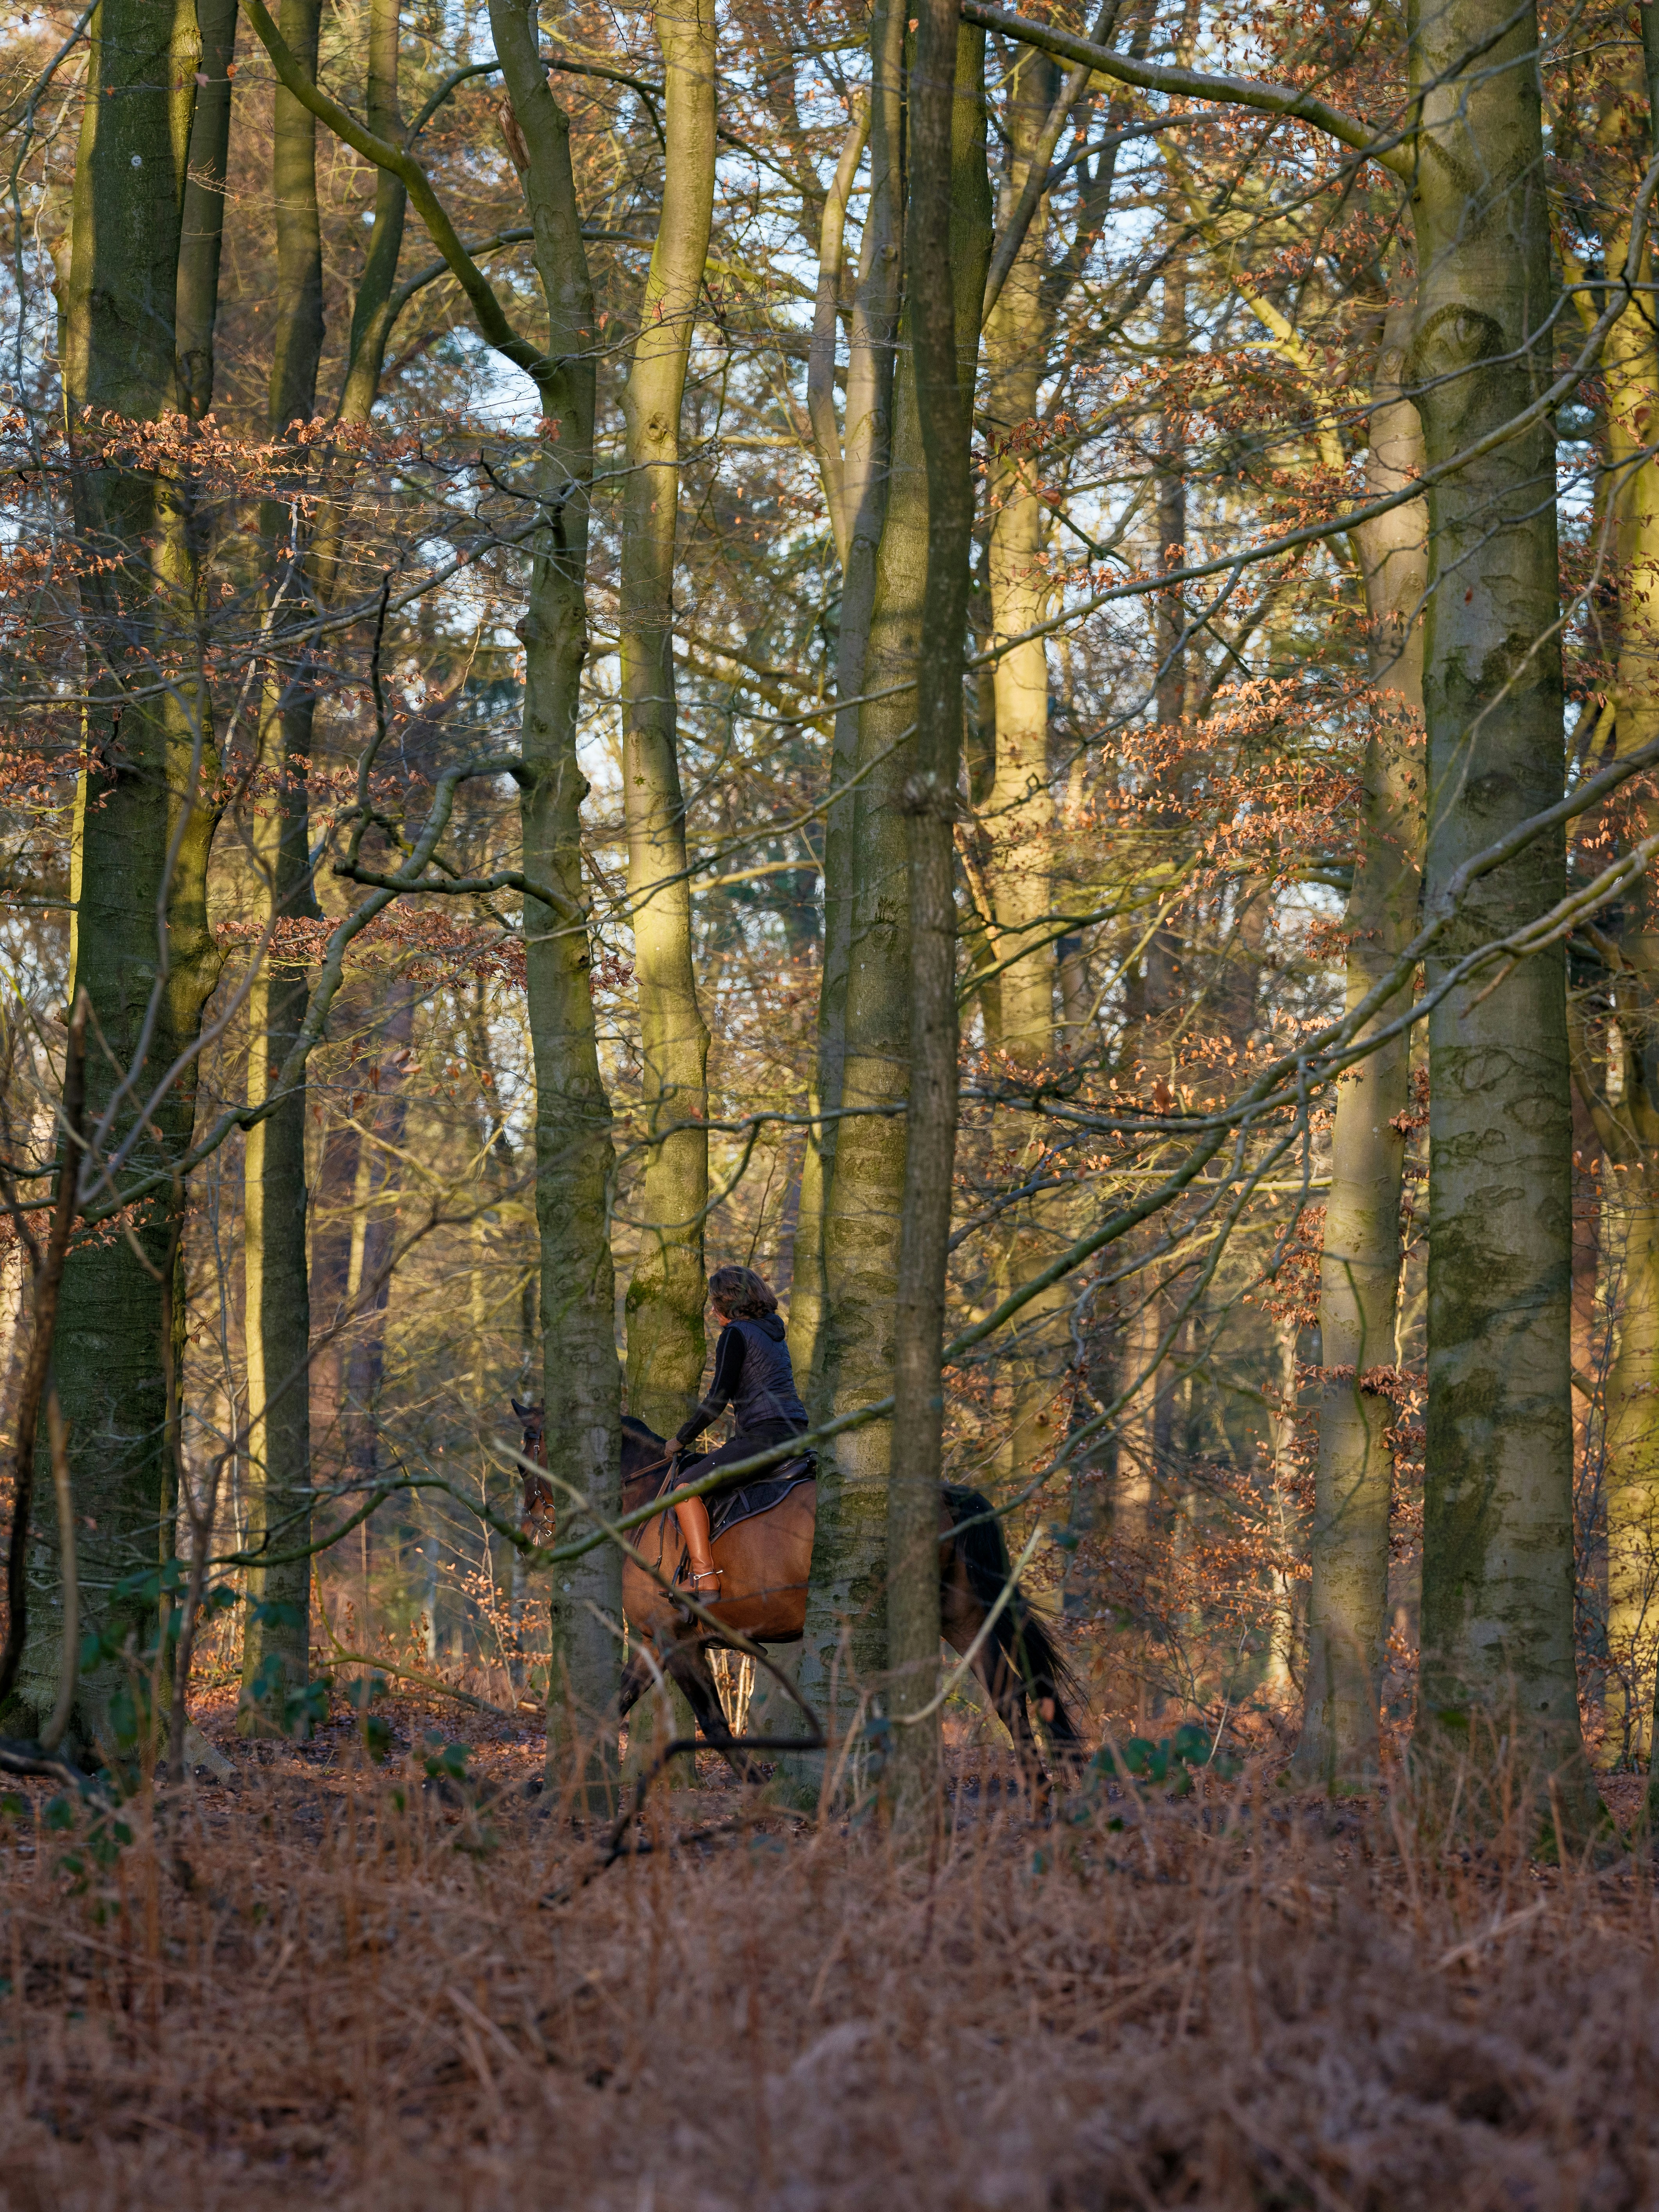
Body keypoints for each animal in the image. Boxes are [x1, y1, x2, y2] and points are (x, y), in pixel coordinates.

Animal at [511, 1399, 1084, 1786]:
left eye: (522, 1459)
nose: (531, 1526)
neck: (645, 1497)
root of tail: (942, 1492)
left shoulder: (677, 1639)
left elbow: (715, 1725)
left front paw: (763, 1797)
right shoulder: (656, 1639)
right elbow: (614, 1707)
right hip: (963, 1617)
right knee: (1011, 1699)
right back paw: (1040, 1804)